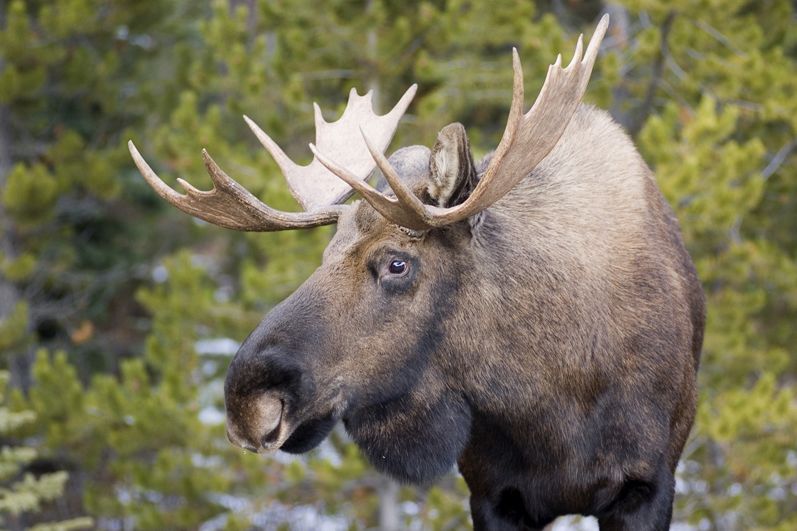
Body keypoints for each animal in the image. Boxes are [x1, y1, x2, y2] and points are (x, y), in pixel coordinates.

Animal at [127, 14, 704, 528]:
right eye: (325, 253)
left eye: (397, 263)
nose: (247, 402)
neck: (550, 409)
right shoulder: (493, 494)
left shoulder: (647, 484)